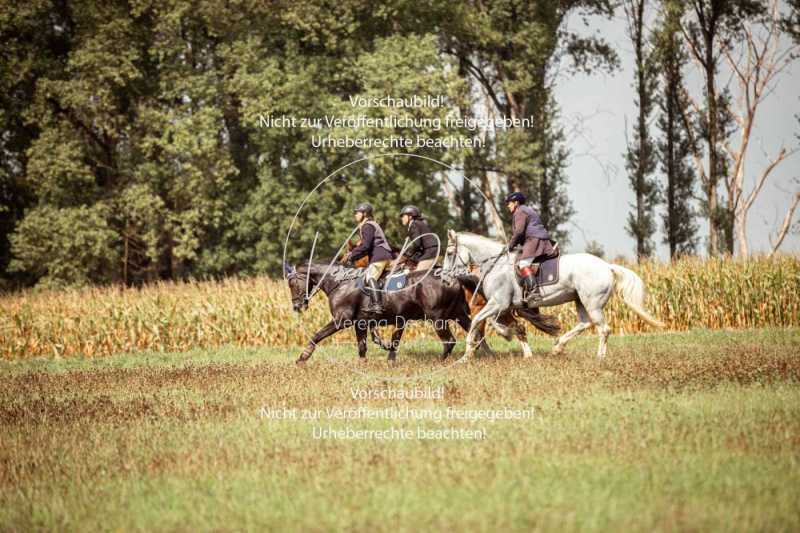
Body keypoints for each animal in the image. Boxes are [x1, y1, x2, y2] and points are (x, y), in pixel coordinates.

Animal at [444, 231, 664, 360]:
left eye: (448, 253)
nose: (445, 279)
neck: (496, 264)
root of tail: (607, 266)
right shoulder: (503, 306)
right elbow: (507, 325)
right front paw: (523, 350)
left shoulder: (498, 303)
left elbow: (479, 322)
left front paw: (468, 354)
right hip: (579, 301)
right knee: (584, 324)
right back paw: (558, 347)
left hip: (593, 303)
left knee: (603, 329)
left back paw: (599, 357)